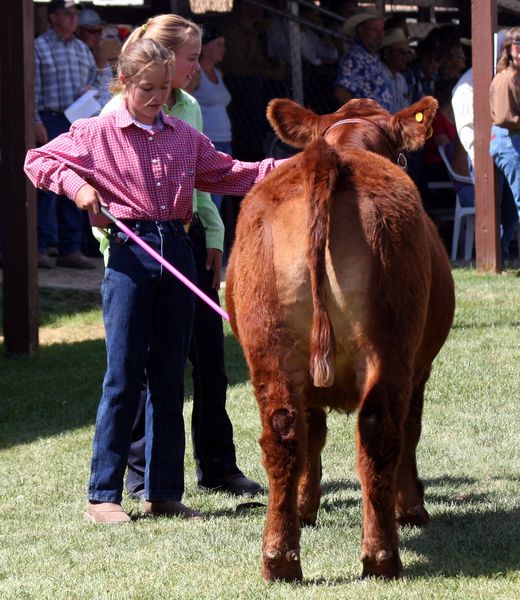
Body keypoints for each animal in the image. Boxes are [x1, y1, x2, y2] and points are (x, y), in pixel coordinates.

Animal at [225, 97, 452, 580]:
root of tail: (330, 159)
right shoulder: (420, 367)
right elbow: (411, 430)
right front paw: (412, 508)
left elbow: (314, 435)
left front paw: (305, 508)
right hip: (390, 343)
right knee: (381, 430)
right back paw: (382, 557)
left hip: (271, 346)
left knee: (284, 434)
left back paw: (280, 559)